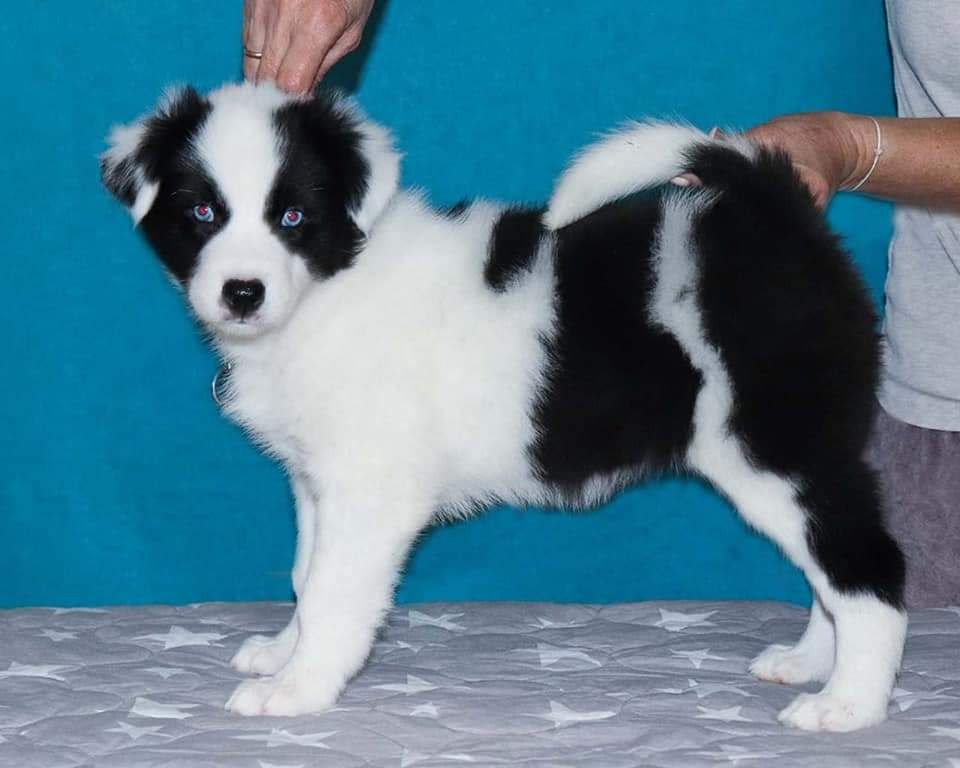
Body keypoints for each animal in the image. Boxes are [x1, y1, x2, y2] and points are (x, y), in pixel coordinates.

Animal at [101, 82, 906, 731]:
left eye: (293, 217)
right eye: (202, 211)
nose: (243, 292)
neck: (330, 287)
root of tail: (780, 218)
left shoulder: (370, 488)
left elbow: (333, 588)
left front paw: (300, 688)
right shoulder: (314, 479)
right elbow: (305, 573)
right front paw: (283, 653)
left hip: (771, 447)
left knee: (868, 568)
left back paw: (848, 705)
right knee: (829, 570)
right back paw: (811, 663)